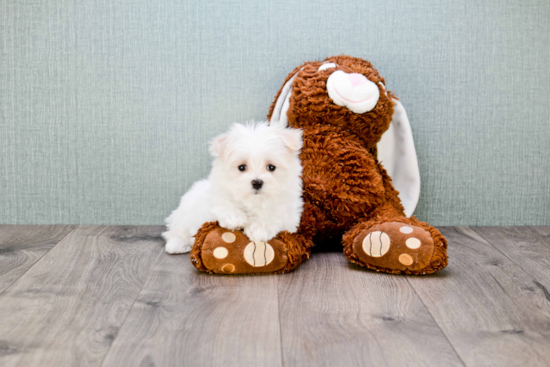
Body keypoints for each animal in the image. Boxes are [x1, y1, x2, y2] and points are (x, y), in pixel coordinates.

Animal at [162, 122, 304, 254]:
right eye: (241, 167)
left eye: (271, 167)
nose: (257, 182)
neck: (254, 201)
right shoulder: (218, 194)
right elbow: (224, 203)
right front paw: (235, 219)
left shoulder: (289, 211)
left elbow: (273, 213)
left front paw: (259, 228)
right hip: (184, 214)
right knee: (174, 231)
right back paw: (177, 244)